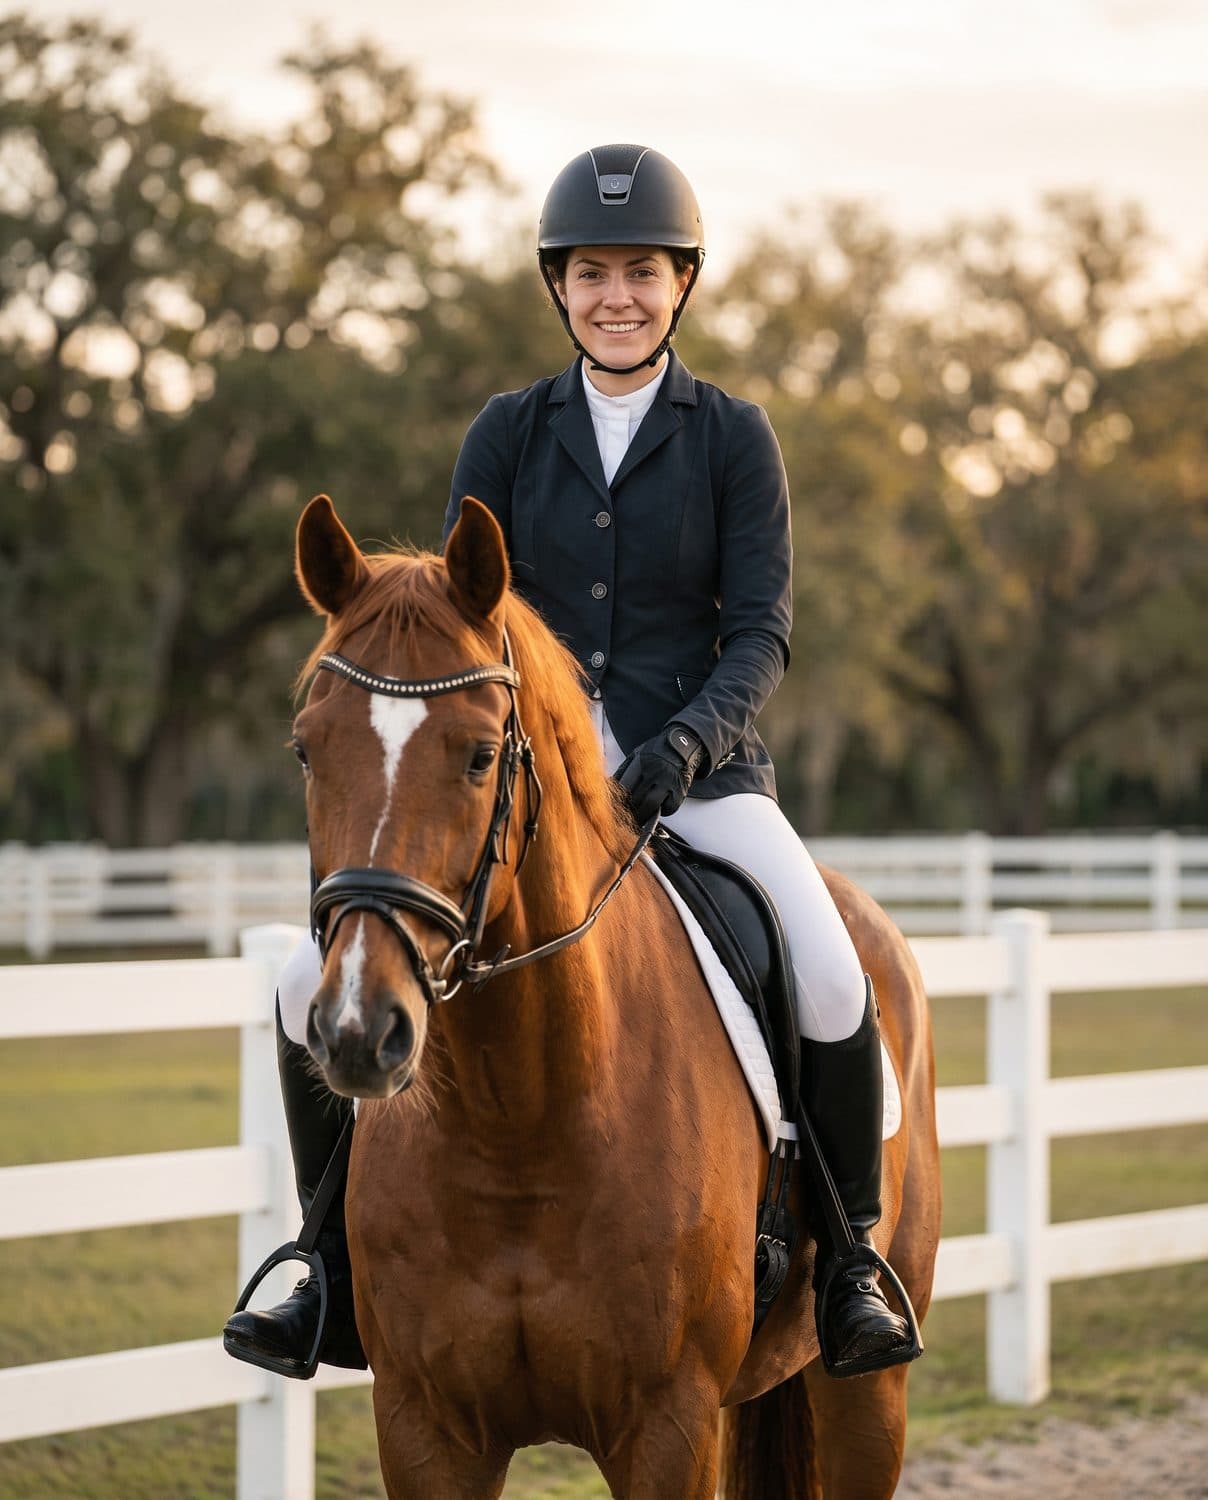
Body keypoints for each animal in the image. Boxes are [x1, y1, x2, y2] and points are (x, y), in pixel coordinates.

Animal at [290, 491, 940, 1499]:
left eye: (480, 756)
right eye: (308, 751)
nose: (361, 1030)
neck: (518, 1122)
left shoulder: (670, 1427)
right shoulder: (423, 1426)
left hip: (868, 1398)